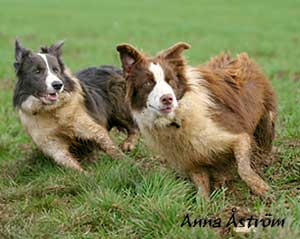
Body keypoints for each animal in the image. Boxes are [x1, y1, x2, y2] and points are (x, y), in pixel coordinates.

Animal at [13, 40, 139, 172]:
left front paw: (129, 163)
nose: (58, 85)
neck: (51, 110)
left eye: (56, 70)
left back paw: (128, 144)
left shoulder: (87, 126)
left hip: (118, 104)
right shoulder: (51, 144)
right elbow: (67, 161)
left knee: (134, 126)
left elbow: (109, 145)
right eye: (37, 71)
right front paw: (84, 173)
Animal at [116, 42, 276, 198]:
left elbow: (243, 168)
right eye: (148, 83)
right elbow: (201, 187)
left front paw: (261, 188)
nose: (167, 98)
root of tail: (238, 58)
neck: (177, 119)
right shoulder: (191, 158)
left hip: (266, 118)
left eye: (171, 81)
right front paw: (204, 203)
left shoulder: (236, 134)